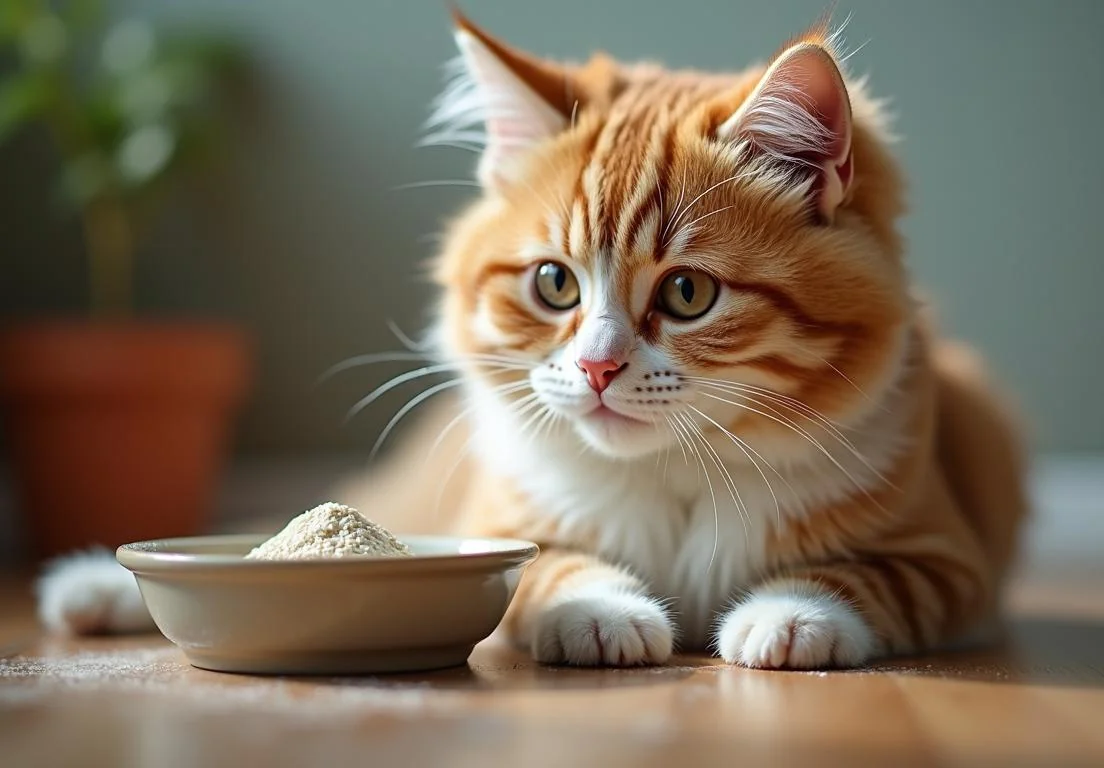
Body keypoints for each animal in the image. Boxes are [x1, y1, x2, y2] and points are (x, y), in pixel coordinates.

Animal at [40, 12, 1024, 670]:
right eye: (555, 284)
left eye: (688, 293)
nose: (596, 366)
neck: (673, 478)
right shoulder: (502, 520)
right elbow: (552, 570)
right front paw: (605, 612)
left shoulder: (946, 554)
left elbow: (859, 578)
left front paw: (786, 618)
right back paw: (92, 589)